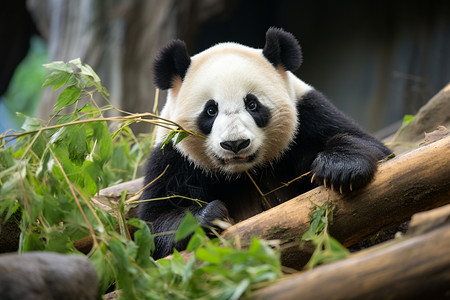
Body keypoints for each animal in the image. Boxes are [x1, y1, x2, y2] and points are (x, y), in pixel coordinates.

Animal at [138, 27, 390, 258]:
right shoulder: (172, 157)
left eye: (252, 104)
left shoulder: (309, 115)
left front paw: (340, 169)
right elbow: (156, 223)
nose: (235, 144)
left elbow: (371, 147)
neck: (244, 172)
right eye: (210, 110)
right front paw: (210, 215)